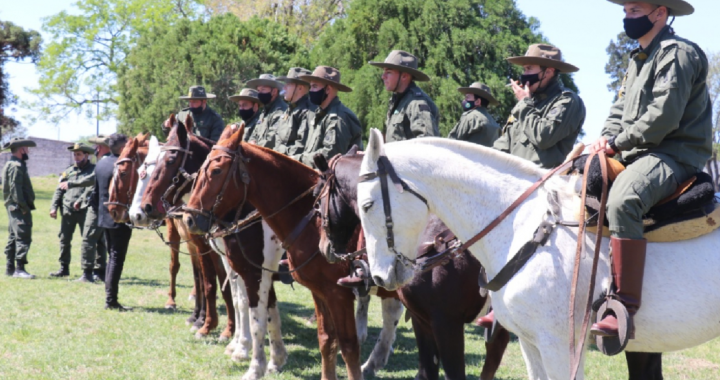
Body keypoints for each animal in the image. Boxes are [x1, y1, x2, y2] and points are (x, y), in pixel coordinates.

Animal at [142, 116, 238, 342]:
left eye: (170, 160)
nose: (146, 206)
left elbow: (217, 283)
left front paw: (223, 327)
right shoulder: (201, 246)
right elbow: (206, 281)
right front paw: (203, 321)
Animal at [183, 125, 390, 380]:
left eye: (216, 170)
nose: (189, 218)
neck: (310, 219)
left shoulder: (329, 292)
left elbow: (257, 318)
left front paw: (254, 365)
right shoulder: (300, 285)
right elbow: (278, 318)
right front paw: (271, 359)